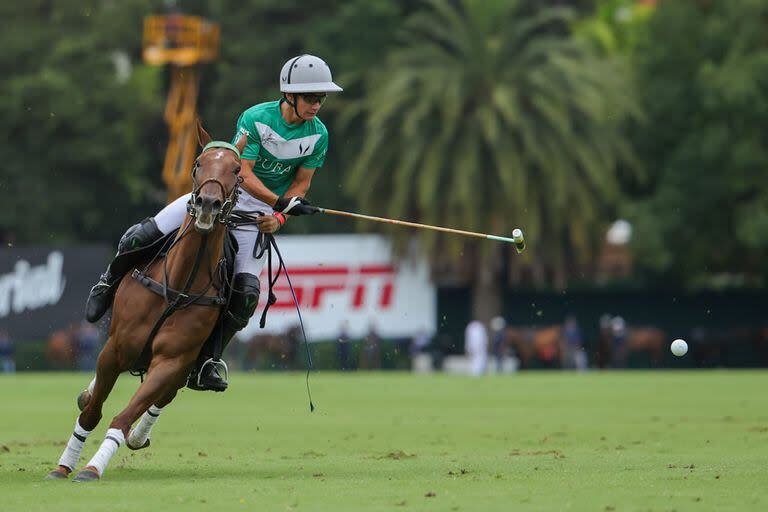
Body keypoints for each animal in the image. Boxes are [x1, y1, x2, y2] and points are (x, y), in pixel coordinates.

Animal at [47, 124, 246, 484]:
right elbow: (92, 413)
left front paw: (93, 468)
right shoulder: (115, 349)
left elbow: (123, 417)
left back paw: (139, 436)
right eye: (198, 163)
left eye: (236, 169)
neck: (178, 285)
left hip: (186, 365)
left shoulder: (170, 362)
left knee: (161, 399)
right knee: (139, 235)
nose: (208, 204)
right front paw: (63, 466)